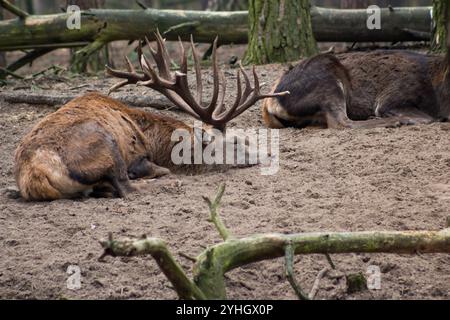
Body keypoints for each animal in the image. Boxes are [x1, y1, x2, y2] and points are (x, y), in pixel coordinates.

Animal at [14, 32, 284, 200]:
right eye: (236, 142)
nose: (269, 154)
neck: (157, 142)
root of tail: (35, 176)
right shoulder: (136, 156)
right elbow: (153, 170)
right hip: (104, 144)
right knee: (127, 187)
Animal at [262, 49, 450, 129]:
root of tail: (269, 104)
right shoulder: (391, 99)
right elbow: (427, 118)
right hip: (328, 80)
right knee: (342, 122)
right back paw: (394, 121)